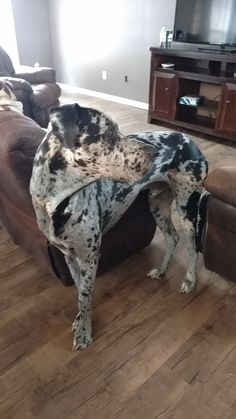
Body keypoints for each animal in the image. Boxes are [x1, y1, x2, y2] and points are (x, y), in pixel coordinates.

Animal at [29, 102, 208, 352]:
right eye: (109, 133)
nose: (155, 153)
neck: (55, 203)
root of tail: (191, 141)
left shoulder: (90, 256)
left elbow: (85, 294)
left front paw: (84, 330)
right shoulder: (69, 255)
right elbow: (80, 291)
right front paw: (81, 319)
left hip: (186, 206)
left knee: (193, 247)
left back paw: (190, 280)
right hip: (158, 204)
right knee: (173, 238)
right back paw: (162, 270)